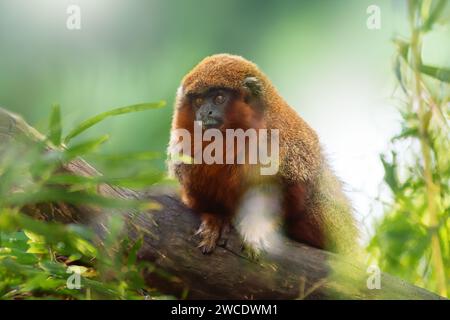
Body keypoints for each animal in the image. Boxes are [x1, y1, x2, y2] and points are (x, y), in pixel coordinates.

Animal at [167, 53, 360, 256]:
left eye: (219, 98)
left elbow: (291, 190)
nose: (205, 112)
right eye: (198, 102)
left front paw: (257, 227)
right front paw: (216, 218)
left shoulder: (283, 143)